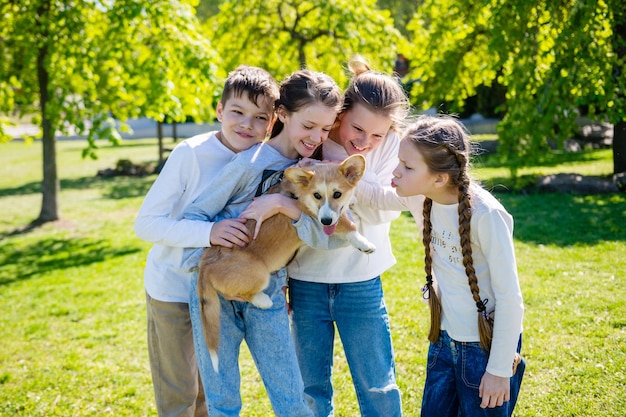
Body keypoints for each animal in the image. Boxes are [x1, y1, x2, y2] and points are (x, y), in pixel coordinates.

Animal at [197, 154, 372, 368]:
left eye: (337, 194)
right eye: (317, 196)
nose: (326, 221)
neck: (300, 194)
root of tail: (205, 265)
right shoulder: (313, 215)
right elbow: (347, 224)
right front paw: (363, 242)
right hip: (260, 273)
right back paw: (263, 301)